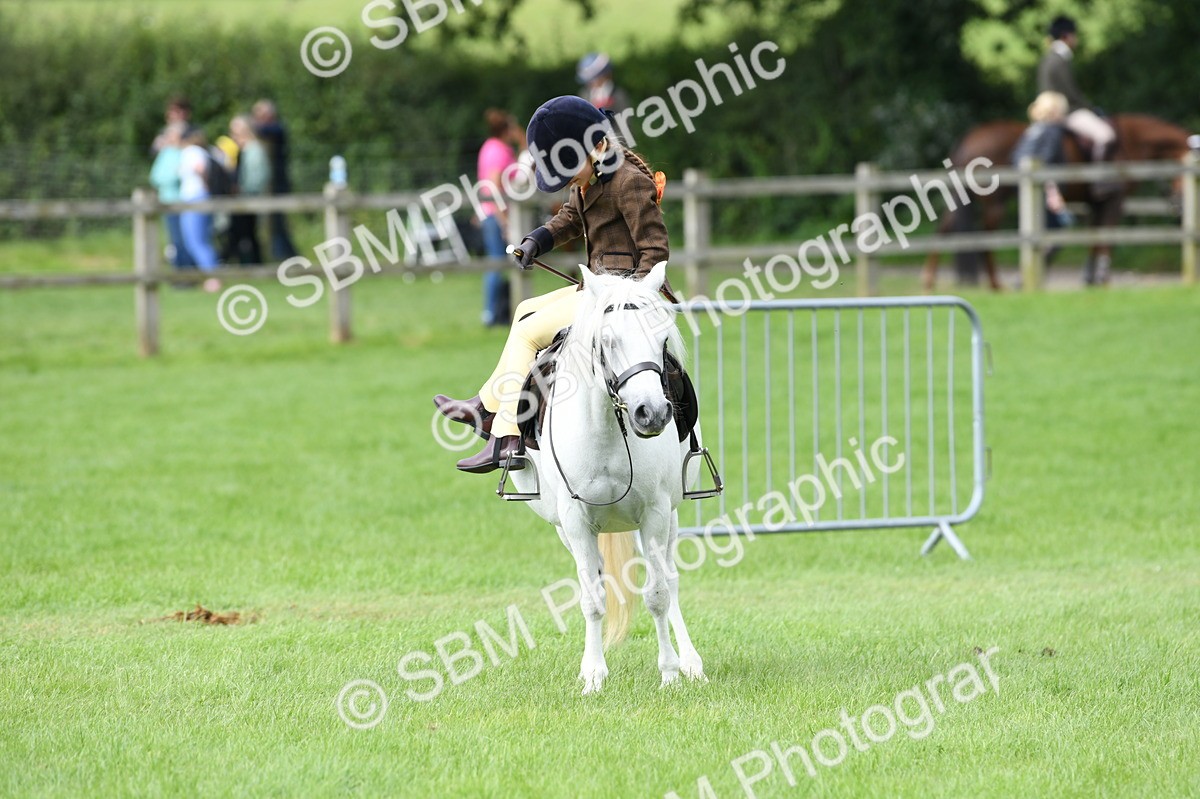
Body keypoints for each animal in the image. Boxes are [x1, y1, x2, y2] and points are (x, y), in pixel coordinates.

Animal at [505, 263, 707, 695]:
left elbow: (658, 595)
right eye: (608, 341)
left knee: (670, 580)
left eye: (663, 339)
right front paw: (594, 676)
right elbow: (592, 599)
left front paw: (669, 672)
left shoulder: (654, 513)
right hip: (568, 529)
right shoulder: (576, 521)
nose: (652, 413)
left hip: (668, 520)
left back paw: (691, 662)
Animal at [921, 114, 1194, 290]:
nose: (1179, 206)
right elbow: (1106, 238)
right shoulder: (1113, 201)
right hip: (995, 202)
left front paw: (1090, 278)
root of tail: (969, 138)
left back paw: (931, 279)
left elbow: (1094, 237)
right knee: (985, 239)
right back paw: (996, 283)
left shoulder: (1094, 204)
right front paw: (1101, 277)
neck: (1130, 141)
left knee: (945, 228)